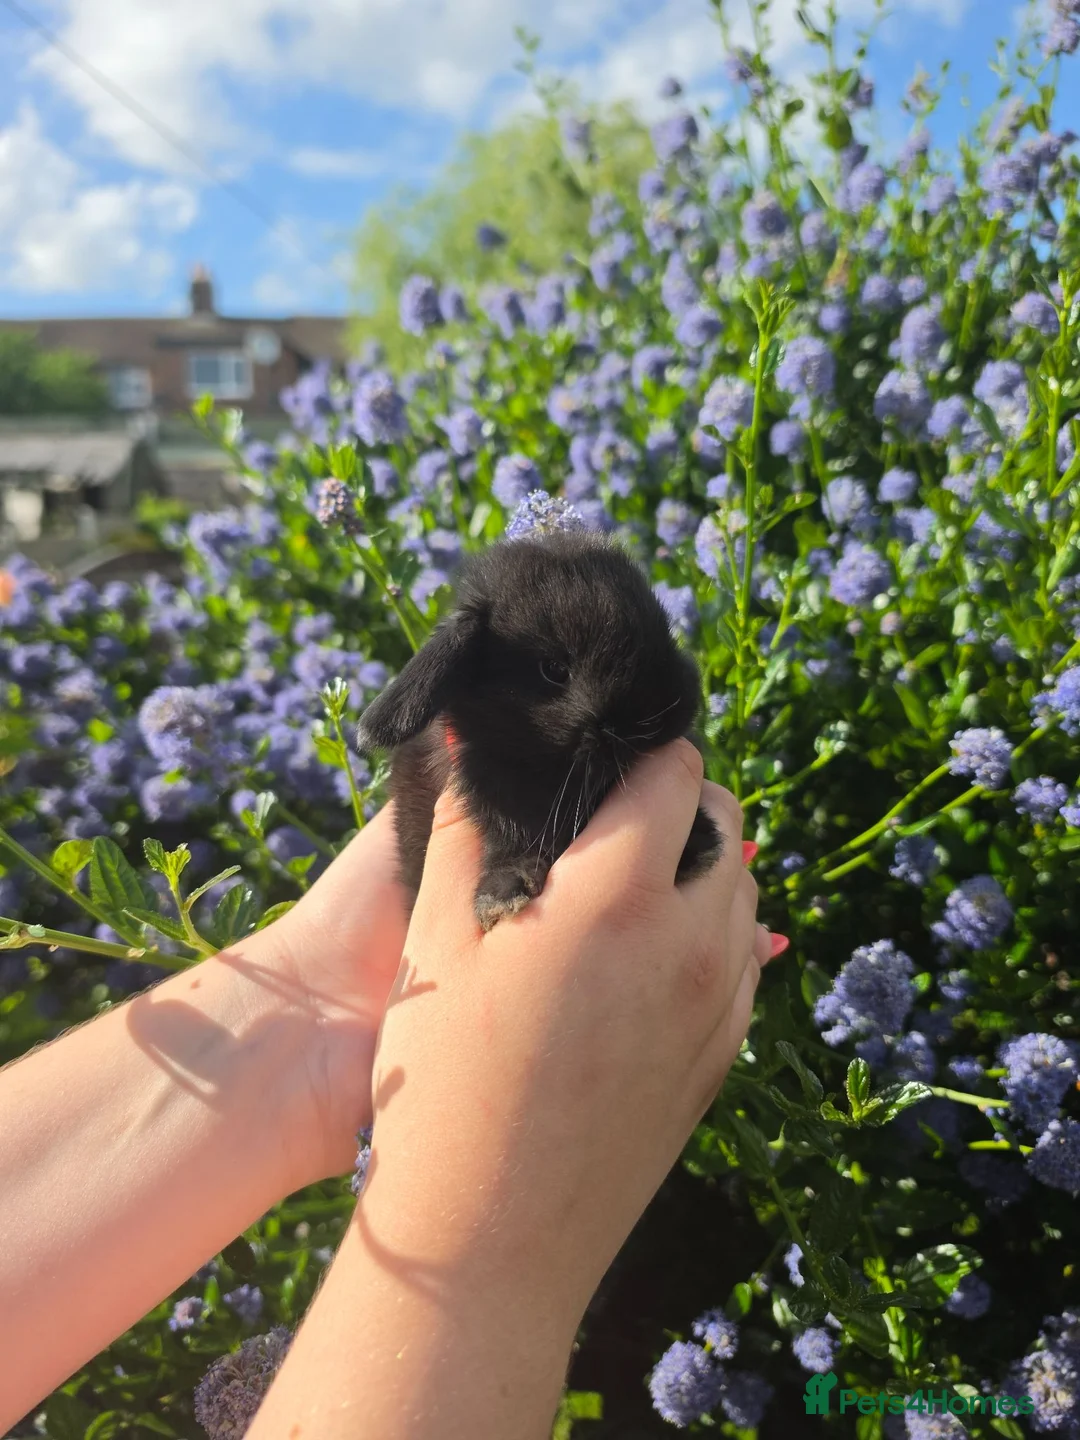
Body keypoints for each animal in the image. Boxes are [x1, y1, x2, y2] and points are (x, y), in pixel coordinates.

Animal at [354, 526, 725, 932]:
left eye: (664, 634)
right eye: (554, 669)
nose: (664, 713)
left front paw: (700, 844)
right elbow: (511, 841)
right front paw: (503, 894)